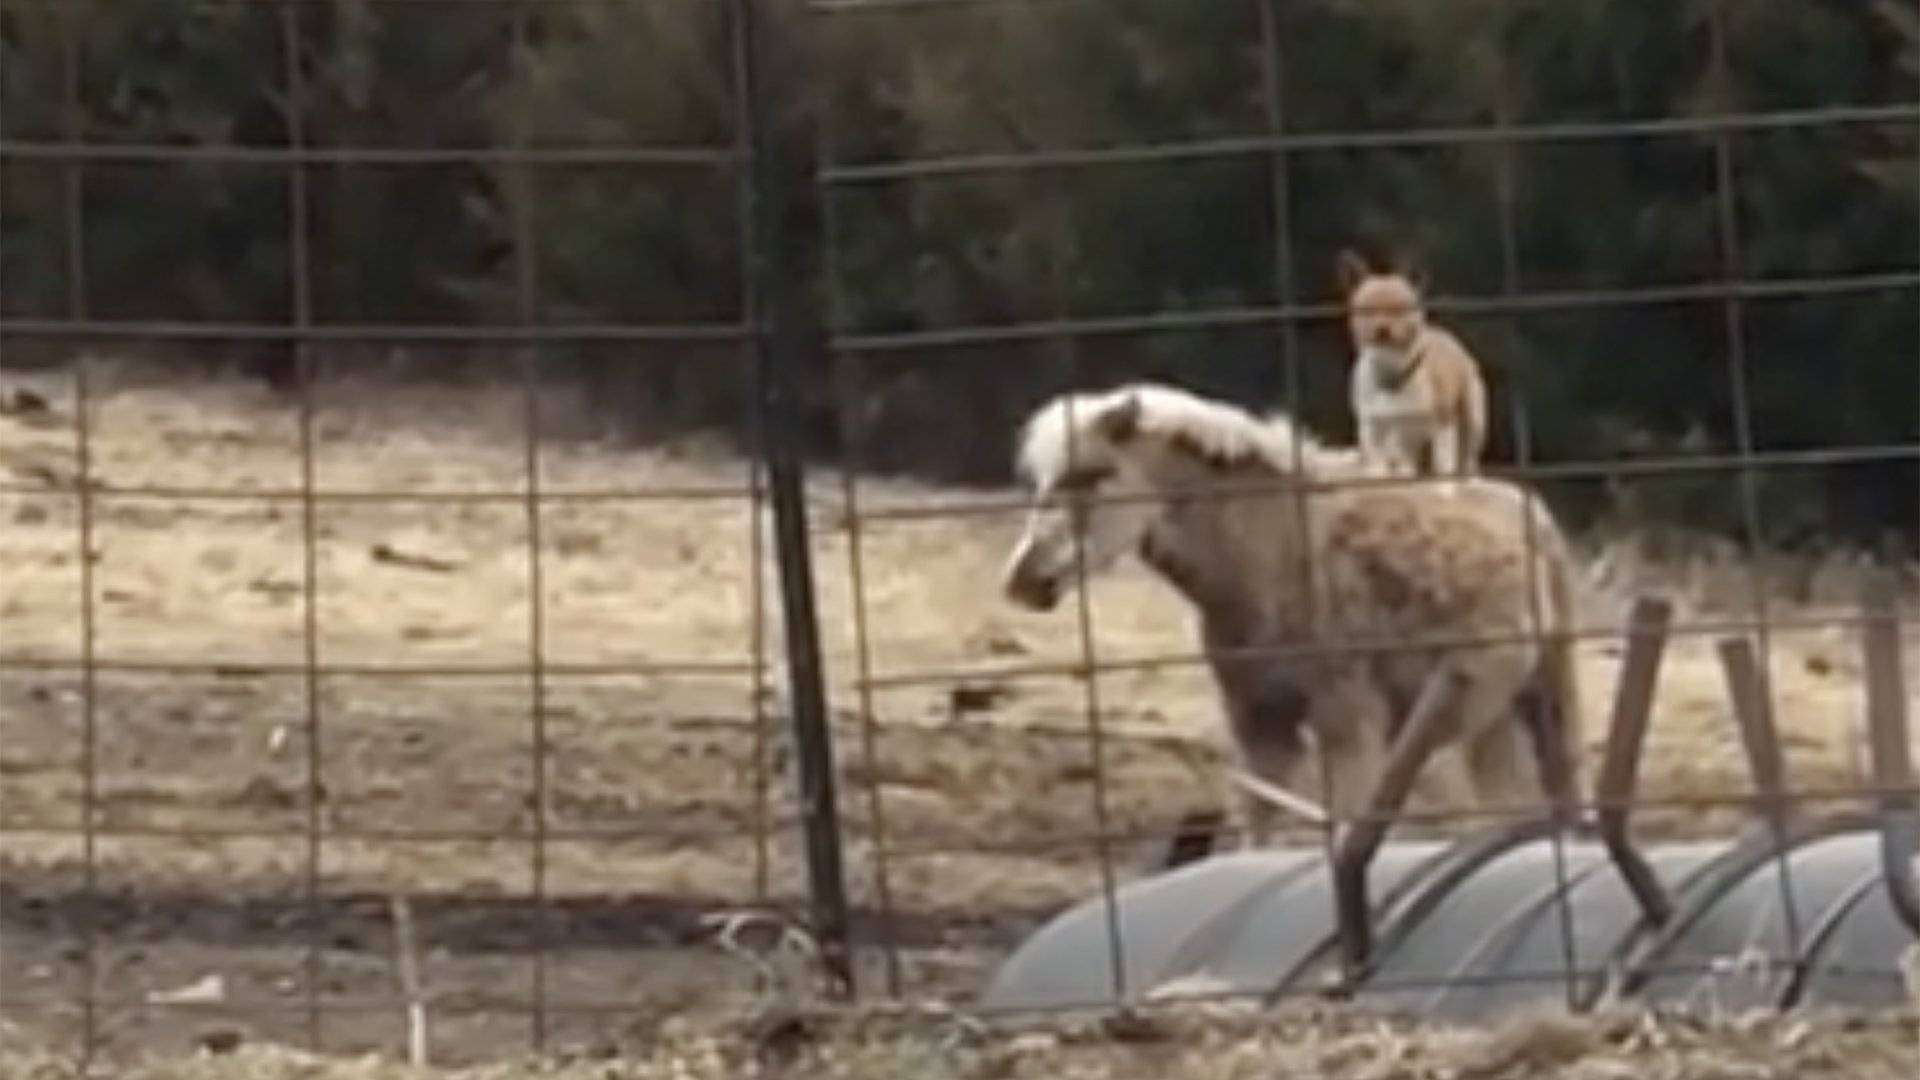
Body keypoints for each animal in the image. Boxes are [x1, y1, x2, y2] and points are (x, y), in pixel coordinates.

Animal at [998, 382, 1582, 845]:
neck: (1273, 558)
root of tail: (1530, 508)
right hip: (1491, 716)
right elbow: (1255, 840)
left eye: (1095, 473)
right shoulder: (1261, 726)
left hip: (1547, 700)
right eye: (1043, 480)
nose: (1024, 580)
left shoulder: (1347, 726)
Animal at [1344, 249, 1489, 480]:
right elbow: (1377, 464)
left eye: (1401, 309)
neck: (1392, 370)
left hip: (1472, 417)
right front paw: (1378, 474)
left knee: (1466, 455)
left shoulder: (1442, 424)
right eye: (1366, 310)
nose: (1382, 329)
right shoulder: (1372, 427)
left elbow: (1443, 464)